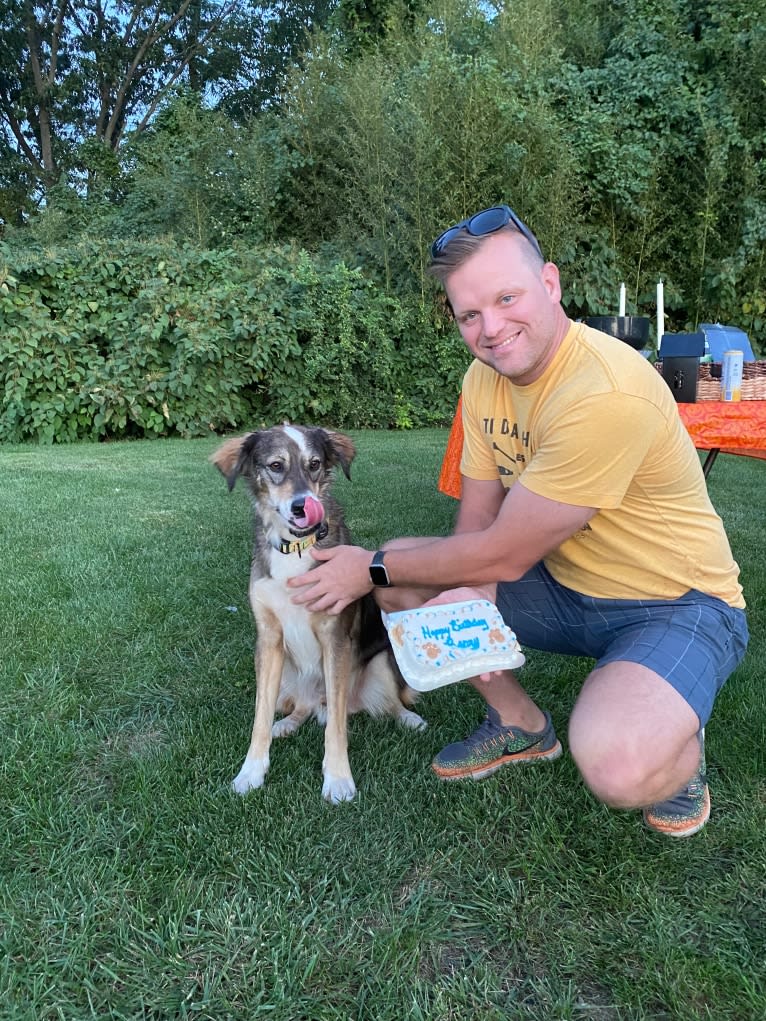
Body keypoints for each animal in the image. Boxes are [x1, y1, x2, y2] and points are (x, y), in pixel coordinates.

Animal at [210, 424, 426, 804]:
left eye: (314, 464)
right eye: (276, 465)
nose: (301, 506)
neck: (295, 549)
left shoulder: (335, 638)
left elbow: (337, 728)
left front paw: (338, 780)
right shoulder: (268, 640)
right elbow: (259, 717)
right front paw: (250, 773)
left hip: (382, 661)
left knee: (385, 702)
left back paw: (408, 718)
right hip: (286, 671)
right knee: (301, 707)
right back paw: (286, 724)